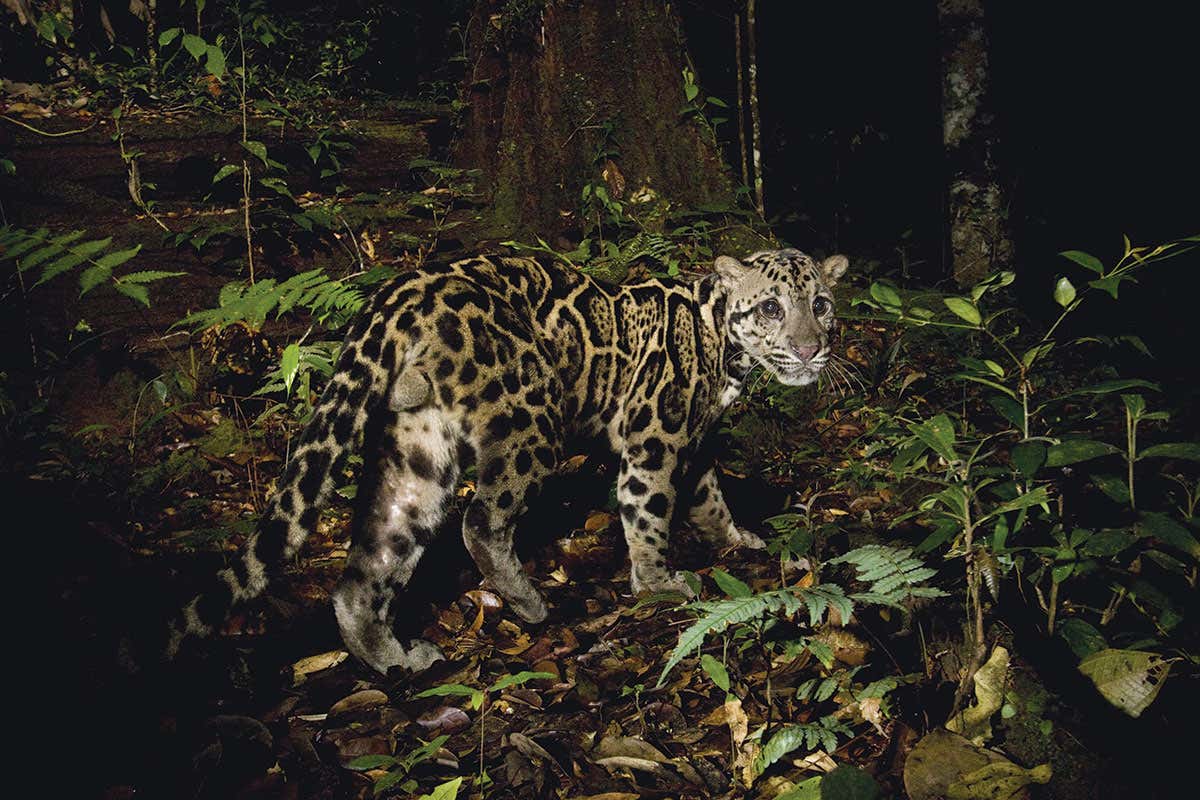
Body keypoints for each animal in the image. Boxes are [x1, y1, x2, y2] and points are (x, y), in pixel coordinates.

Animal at [168, 248, 849, 674]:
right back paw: (529, 602)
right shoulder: (654, 435)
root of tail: (401, 290)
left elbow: (709, 501)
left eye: (821, 304)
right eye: (770, 308)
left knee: (368, 570)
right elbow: (648, 509)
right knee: (481, 522)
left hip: (417, 452)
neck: (723, 349)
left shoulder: (698, 442)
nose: (809, 350)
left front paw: (739, 541)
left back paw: (395, 660)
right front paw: (658, 583)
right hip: (533, 416)